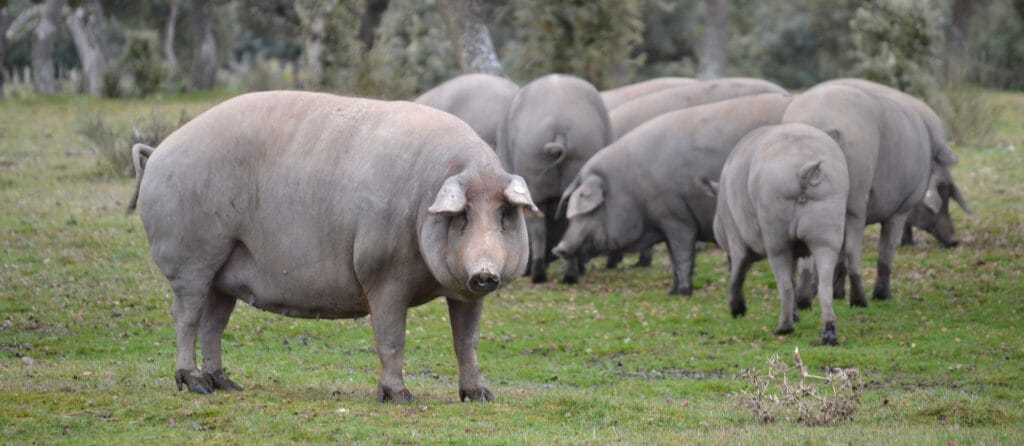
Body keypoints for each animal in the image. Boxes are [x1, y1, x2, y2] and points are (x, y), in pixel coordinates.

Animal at [127, 91, 540, 403]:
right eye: (463, 214)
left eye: (505, 213)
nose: (484, 272)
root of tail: (159, 151)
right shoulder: (381, 273)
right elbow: (391, 338)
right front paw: (400, 397)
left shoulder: (466, 295)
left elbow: (466, 341)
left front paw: (481, 396)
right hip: (191, 259)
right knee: (186, 316)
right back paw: (196, 385)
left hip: (223, 272)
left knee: (214, 323)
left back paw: (227, 384)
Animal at [551, 93, 793, 295]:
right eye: (570, 214)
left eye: (589, 212)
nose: (559, 247)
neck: (630, 190)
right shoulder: (664, 223)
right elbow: (673, 259)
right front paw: (673, 290)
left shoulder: (677, 219)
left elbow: (682, 255)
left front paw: (682, 292)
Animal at [707, 123, 849, 345]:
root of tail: (804, 171)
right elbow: (793, 275)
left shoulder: (735, 237)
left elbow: (738, 271)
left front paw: (737, 309)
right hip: (828, 228)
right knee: (824, 285)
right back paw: (828, 333)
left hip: (776, 236)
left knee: (785, 286)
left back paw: (784, 327)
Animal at [782, 84, 931, 307]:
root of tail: (817, 121)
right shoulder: (899, 212)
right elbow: (885, 252)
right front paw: (882, 295)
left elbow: (837, 255)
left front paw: (836, 293)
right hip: (856, 204)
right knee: (854, 250)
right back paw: (859, 299)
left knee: (805, 254)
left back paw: (803, 299)